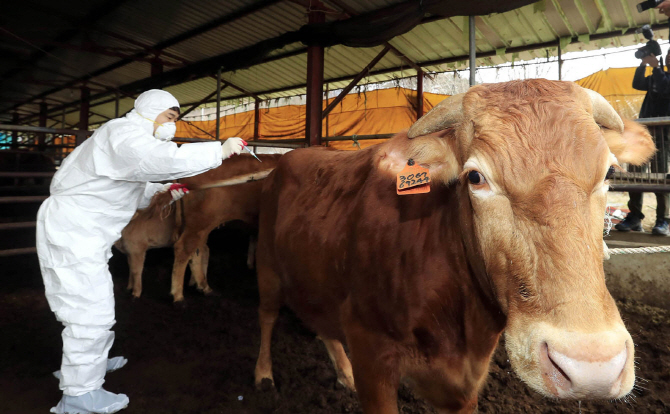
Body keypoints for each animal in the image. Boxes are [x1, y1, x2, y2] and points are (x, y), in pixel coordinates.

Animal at [253, 79, 656, 412]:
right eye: (475, 177)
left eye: (609, 172)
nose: (592, 367)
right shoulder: (371, 355)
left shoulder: (464, 385)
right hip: (268, 268)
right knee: (268, 316)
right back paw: (263, 375)